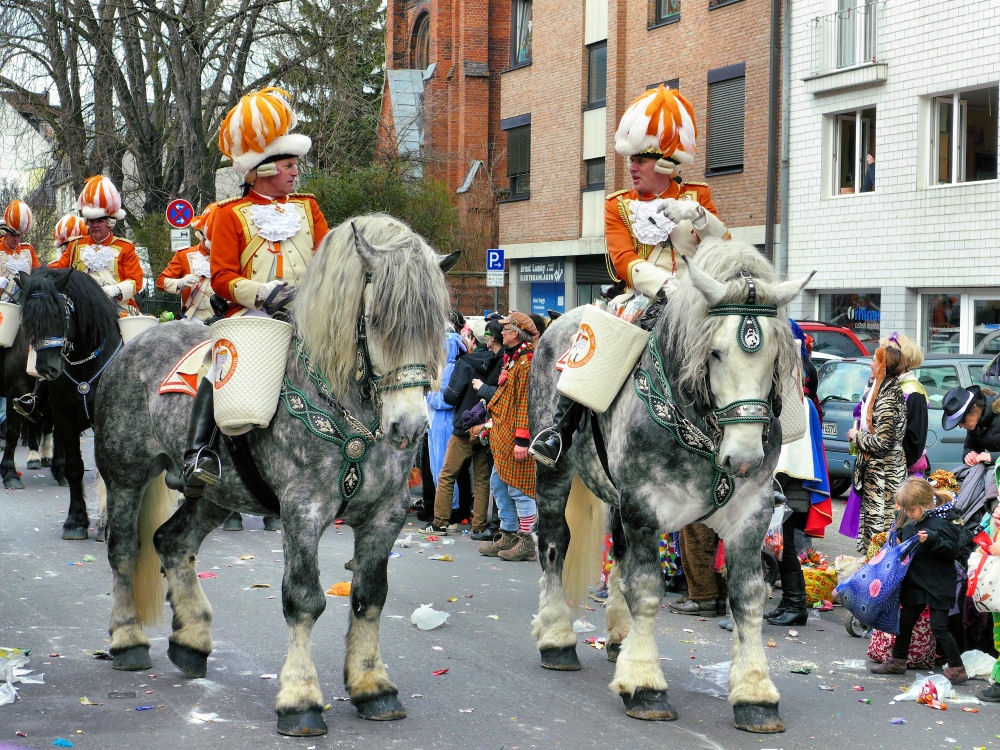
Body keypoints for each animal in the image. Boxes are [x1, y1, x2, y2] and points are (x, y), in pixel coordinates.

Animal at [18, 270, 120, 540]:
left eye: (59, 314)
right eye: (28, 320)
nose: (46, 369)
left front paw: (106, 523)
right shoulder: (63, 415)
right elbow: (75, 466)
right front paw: (76, 521)